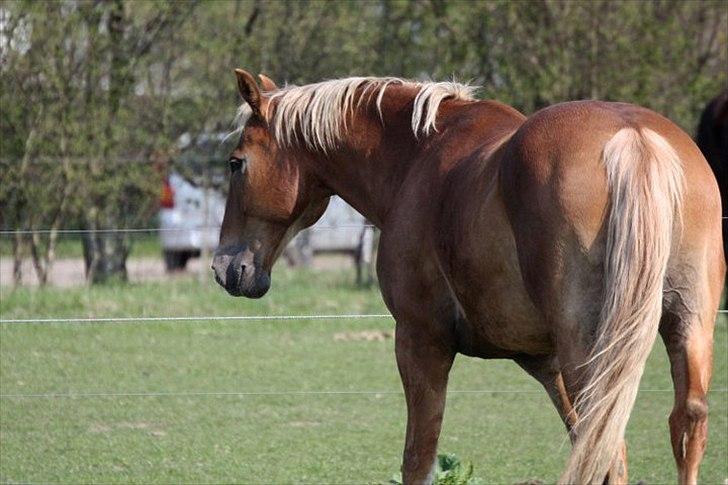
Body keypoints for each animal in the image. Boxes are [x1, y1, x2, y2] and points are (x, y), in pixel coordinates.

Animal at [210, 69, 724, 484]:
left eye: (236, 163)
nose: (223, 268)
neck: (419, 156)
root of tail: (634, 139)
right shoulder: (544, 361)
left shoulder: (420, 342)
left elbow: (419, 458)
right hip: (686, 326)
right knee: (682, 424)